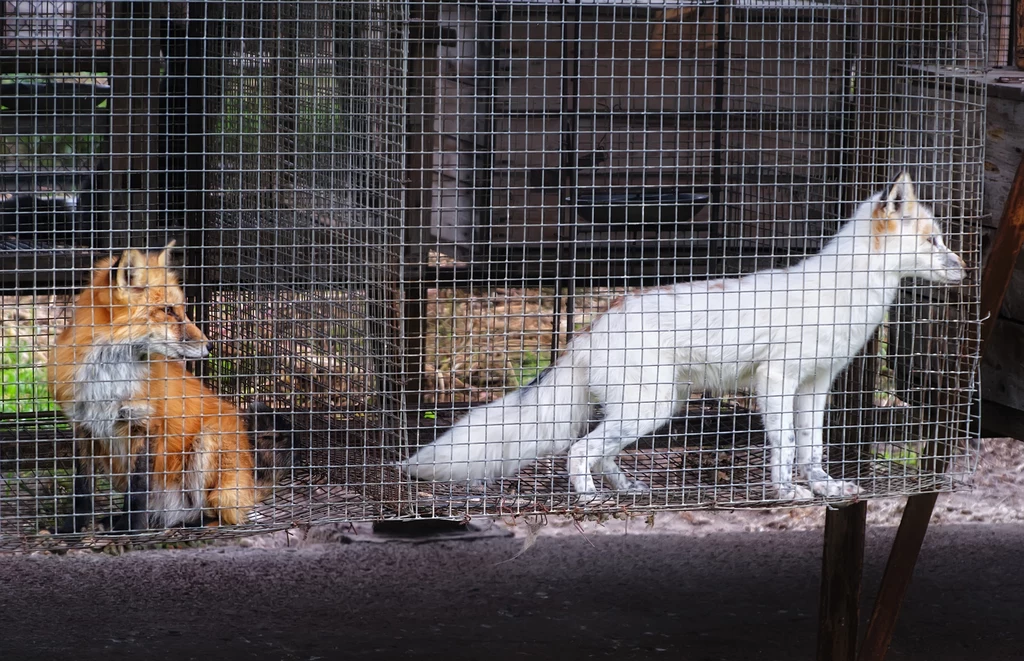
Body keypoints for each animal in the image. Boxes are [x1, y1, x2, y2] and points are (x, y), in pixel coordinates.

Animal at [48, 243, 292, 532]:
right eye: (169, 310)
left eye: (183, 309)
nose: (210, 346)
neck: (109, 379)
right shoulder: (82, 425)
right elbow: (82, 488)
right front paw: (72, 527)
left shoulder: (147, 425)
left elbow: (138, 490)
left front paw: (131, 528)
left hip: (209, 446)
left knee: (218, 513)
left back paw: (188, 522)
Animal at [399, 174, 966, 503]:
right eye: (934, 241)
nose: (962, 267)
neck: (844, 292)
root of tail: (589, 332)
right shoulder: (776, 381)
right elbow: (784, 448)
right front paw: (787, 493)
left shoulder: (815, 386)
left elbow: (812, 449)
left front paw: (826, 488)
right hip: (647, 409)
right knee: (580, 451)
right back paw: (590, 498)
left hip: (656, 407)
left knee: (601, 453)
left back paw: (626, 488)